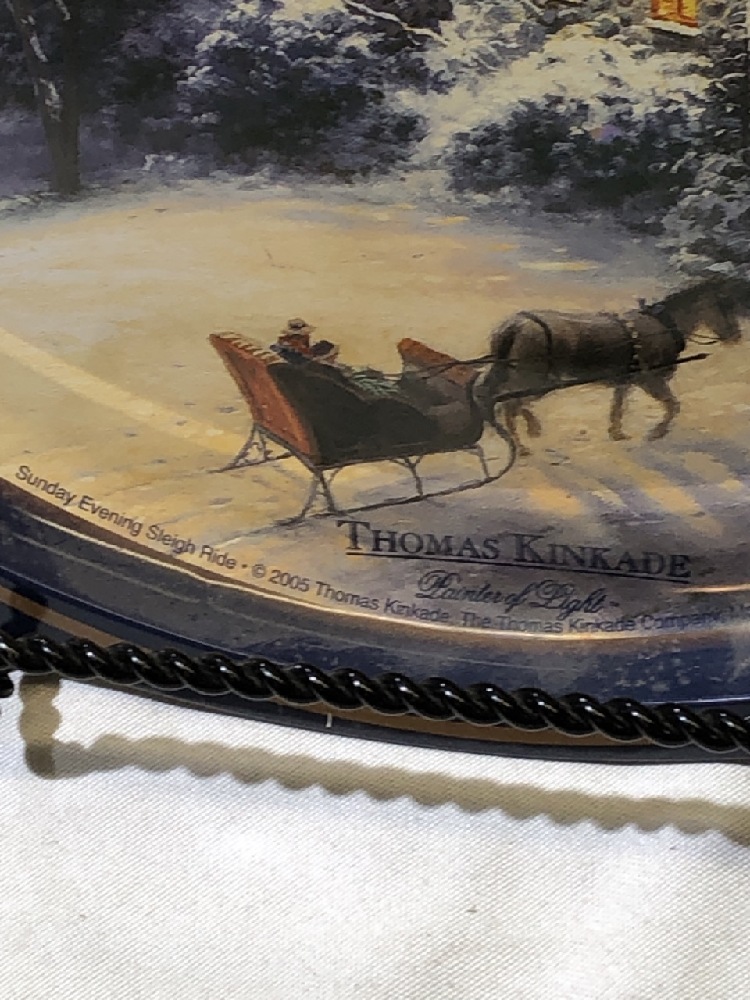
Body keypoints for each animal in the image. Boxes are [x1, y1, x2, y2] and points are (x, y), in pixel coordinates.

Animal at [474, 278, 748, 456]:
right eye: (724, 303)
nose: (736, 336)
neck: (662, 325)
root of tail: (516, 324)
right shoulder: (650, 380)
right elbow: (673, 405)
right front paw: (656, 432)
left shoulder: (625, 382)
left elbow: (618, 407)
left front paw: (617, 432)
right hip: (538, 379)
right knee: (509, 402)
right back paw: (523, 442)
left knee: (495, 397)